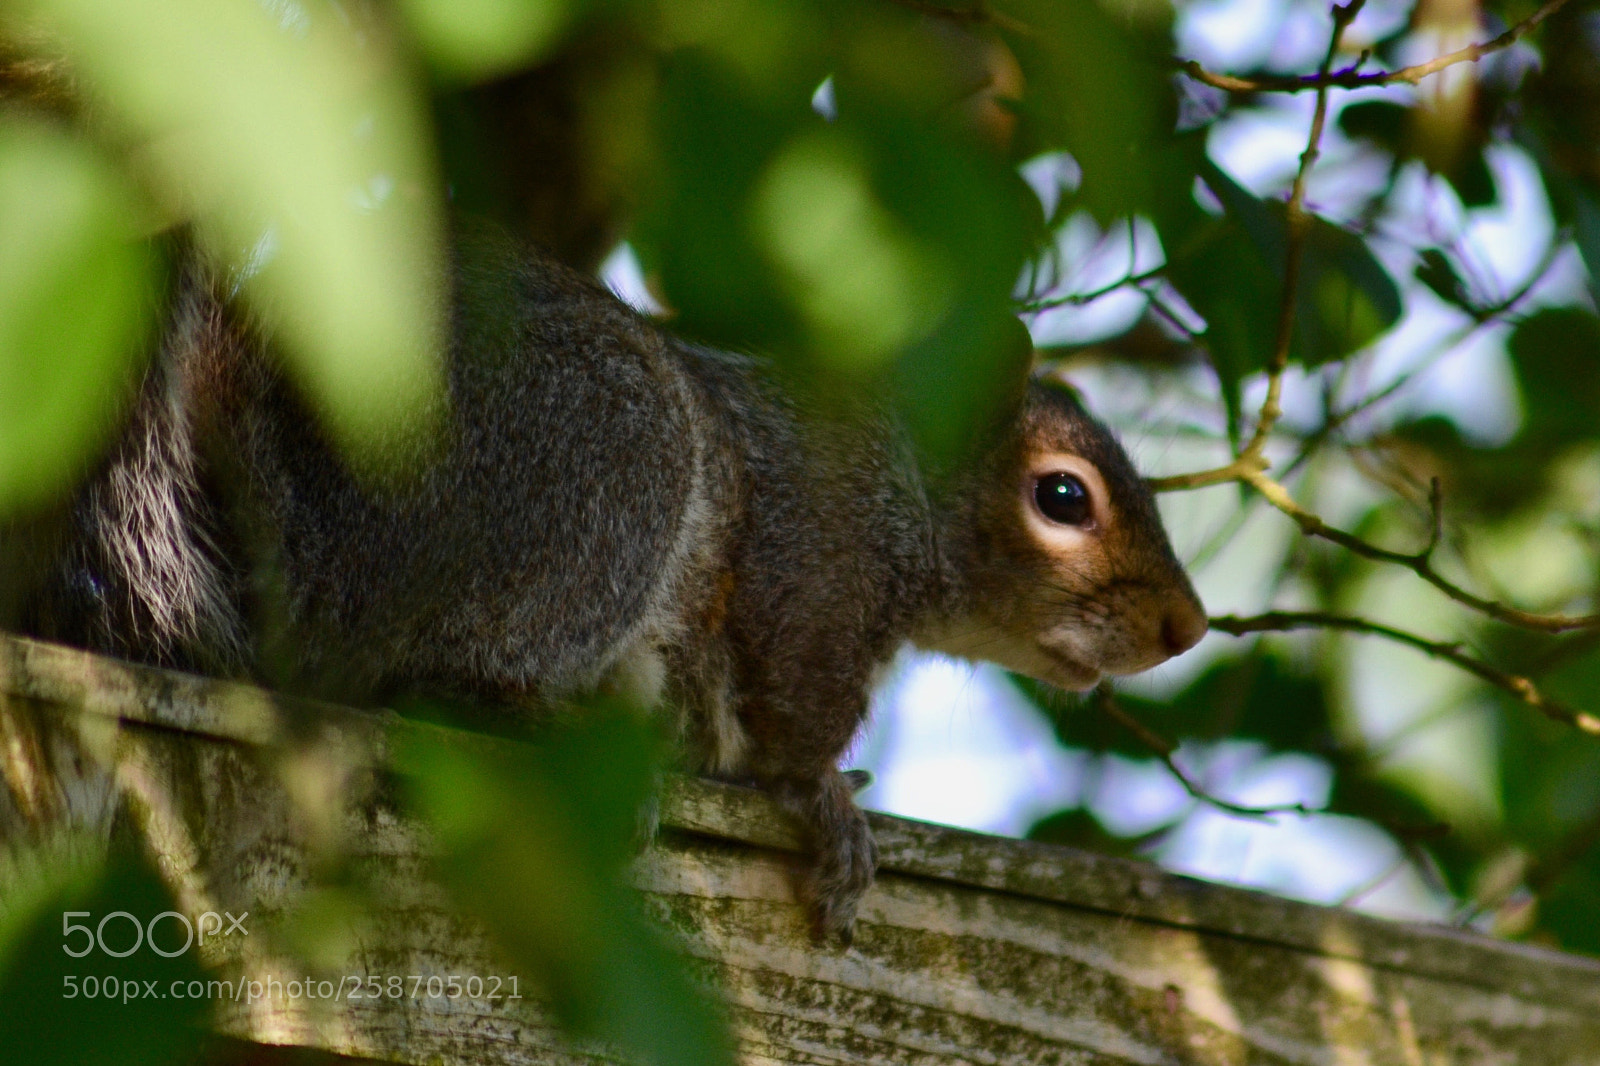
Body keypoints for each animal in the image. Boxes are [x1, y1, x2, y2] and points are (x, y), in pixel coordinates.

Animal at [14, 234, 1207, 943]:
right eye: (1062, 495)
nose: (1187, 627)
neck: (905, 488)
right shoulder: (815, 568)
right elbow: (792, 720)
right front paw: (829, 805)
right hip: (608, 472)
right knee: (417, 675)